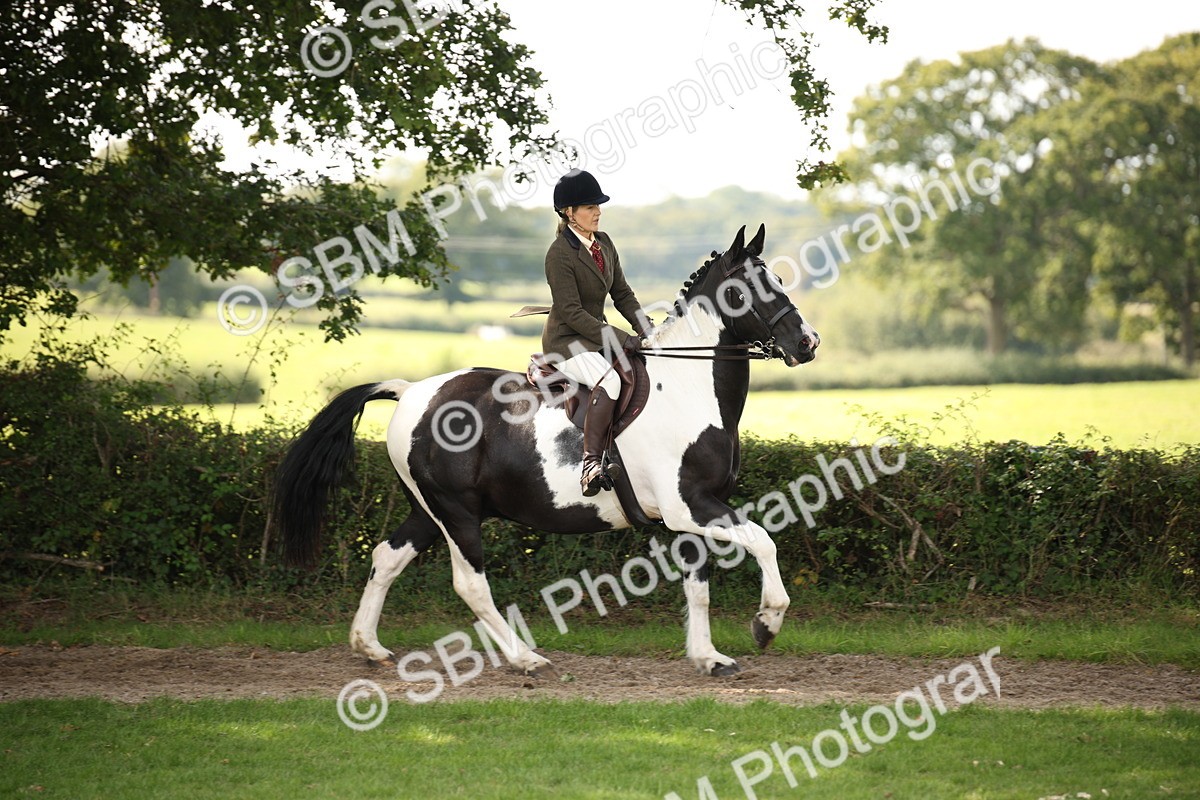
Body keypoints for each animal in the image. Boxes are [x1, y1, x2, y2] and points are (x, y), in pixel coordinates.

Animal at [275, 224, 820, 677]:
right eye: (747, 287)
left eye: (776, 278)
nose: (808, 343)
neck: (688, 387)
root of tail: (411, 391)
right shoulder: (689, 506)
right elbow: (763, 541)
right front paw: (766, 624)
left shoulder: (693, 514)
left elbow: (698, 586)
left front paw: (709, 658)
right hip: (457, 512)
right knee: (470, 584)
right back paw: (525, 659)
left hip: (428, 510)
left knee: (387, 557)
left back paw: (369, 647)